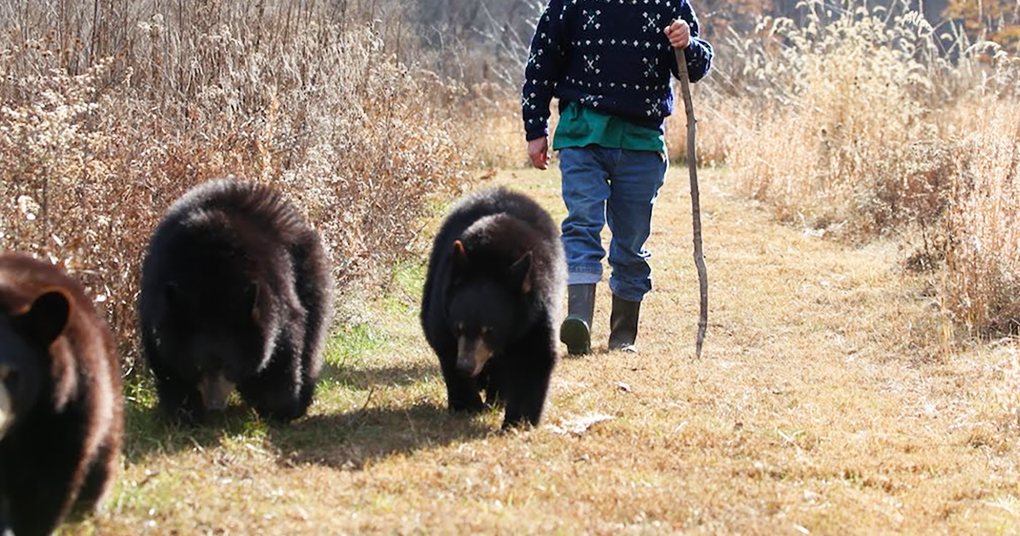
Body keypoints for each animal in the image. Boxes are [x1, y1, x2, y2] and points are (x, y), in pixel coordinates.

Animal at [138, 178, 333, 424]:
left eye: (229, 366)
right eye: (198, 366)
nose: (215, 406)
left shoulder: (275, 298)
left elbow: (284, 351)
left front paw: (281, 407)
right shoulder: (158, 306)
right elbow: (168, 364)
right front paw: (184, 412)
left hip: (308, 269)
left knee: (313, 333)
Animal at [421, 187, 565, 429]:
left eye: (490, 330)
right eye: (458, 327)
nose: (466, 366)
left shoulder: (536, 313)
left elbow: (534, 357)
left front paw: (520, 420)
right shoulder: (442, 305)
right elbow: (446, 346)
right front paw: (467, 404)